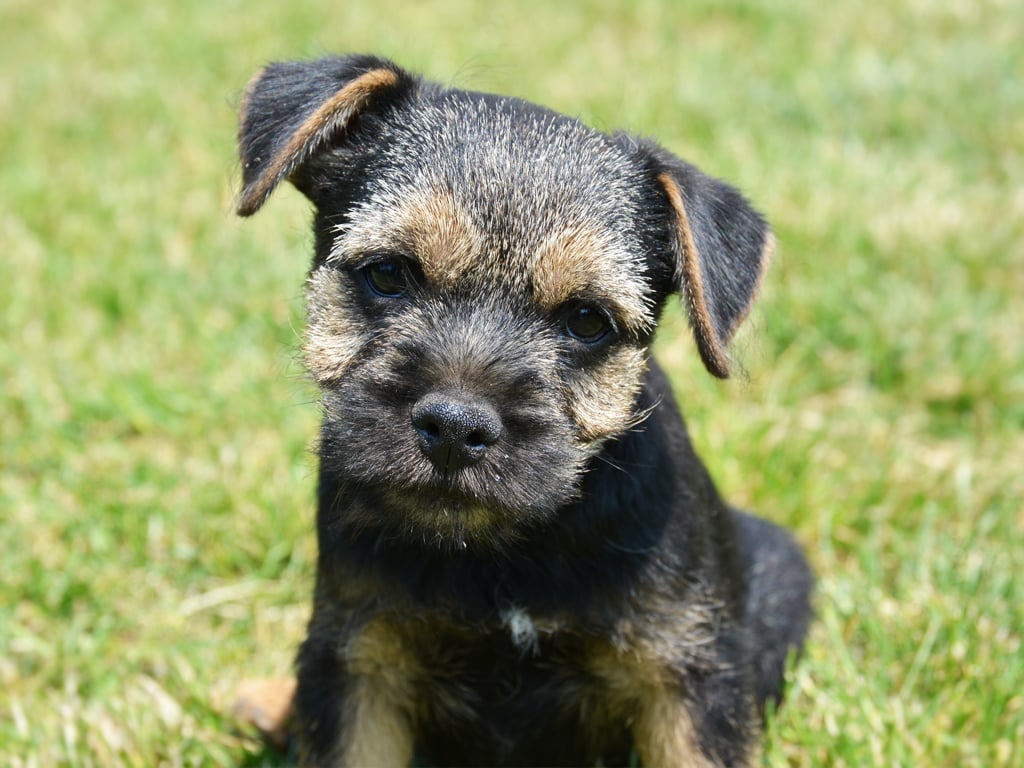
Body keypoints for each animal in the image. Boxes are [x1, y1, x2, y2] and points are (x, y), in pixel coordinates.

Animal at [235, 55, 811, 768]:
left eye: (587, 320)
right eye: (389, 274)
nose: (455, 429)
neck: (501, 556)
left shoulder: (685, 673)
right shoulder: (360, 663)